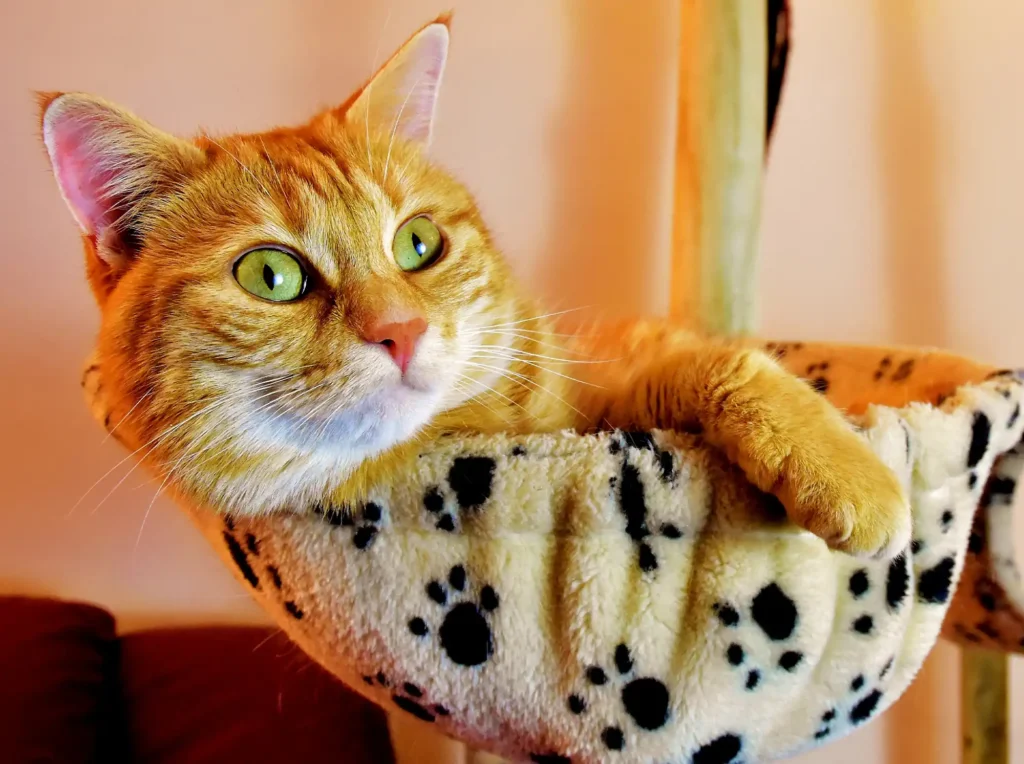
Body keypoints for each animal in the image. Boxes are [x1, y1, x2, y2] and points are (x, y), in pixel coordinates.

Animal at [37, 14, 905, 557]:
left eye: (418, 243)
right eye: (270, 275)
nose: (402, 331)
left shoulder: (612, 364)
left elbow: (719, 363)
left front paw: (848, 470)